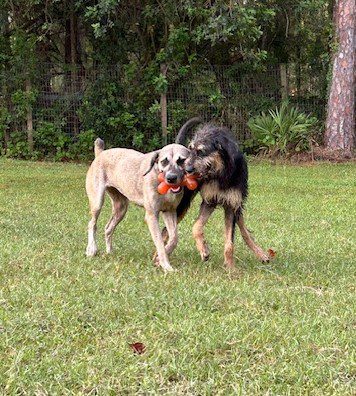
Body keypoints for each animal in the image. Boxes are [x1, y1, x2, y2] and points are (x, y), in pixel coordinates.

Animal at [85, 138, 191, 272]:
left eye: (181, 160)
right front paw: (166, 266)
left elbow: (174, 238)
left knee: (108, 228)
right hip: (97, 202)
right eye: (164, 161)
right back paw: (92, 249)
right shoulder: (151, 216)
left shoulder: (169, 211)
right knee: (92, 224)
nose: (171, 178)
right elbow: (160, 243)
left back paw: (110, 252)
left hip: (121, 208)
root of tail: (100, 154)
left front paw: (160, 259)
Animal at [174, 117, 268, 266]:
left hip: (237, 206)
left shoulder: (231, 205)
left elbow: (230, 242)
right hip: (182, 204)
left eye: (201, 151)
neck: (221, 173)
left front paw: (230, 267)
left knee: (244, 231)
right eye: (190, 149)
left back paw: (261, 254)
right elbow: (196, 227)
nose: (186, 170)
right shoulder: (209, 202)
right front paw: (204, 250)